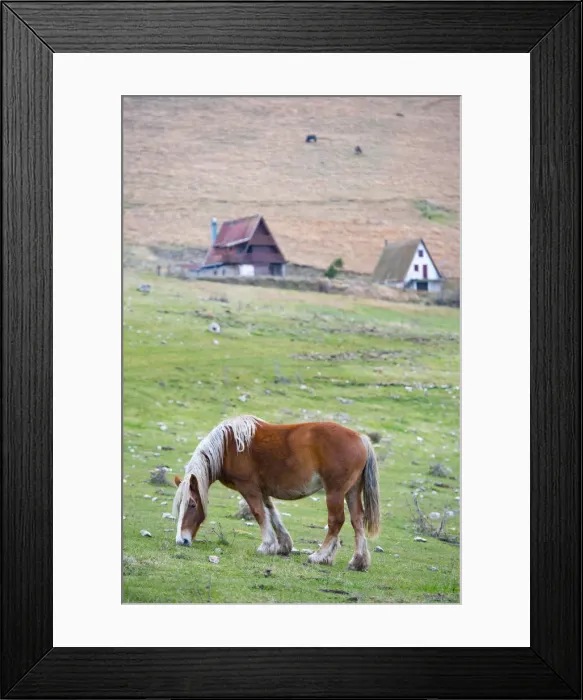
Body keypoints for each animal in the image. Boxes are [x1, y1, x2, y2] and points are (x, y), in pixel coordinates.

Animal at [172, 415, 381, 571]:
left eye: (192, 504)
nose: (182, 540)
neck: (228, 447)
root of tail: (360, 438)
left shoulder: (248, 488)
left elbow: (259, 514)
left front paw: (266, 545)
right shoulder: (262, 490)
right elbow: (272, 513)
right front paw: (283, 546)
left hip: (335, 492)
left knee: (336, 521)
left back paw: (319, 556)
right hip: (352, 491)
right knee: (357, 520)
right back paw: (358, 562)